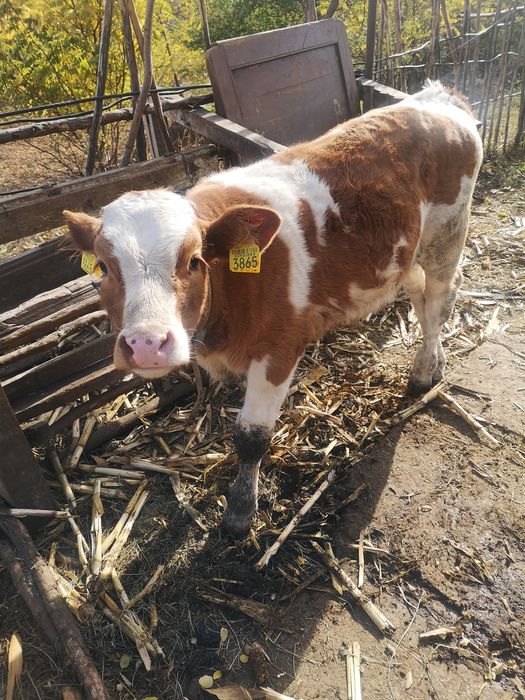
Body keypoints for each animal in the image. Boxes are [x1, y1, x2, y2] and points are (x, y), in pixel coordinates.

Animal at [65, 81, 483, 537]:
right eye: (104, 267)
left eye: (194, 260)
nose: (146, 344)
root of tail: (436, 97)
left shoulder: (280, 347)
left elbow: (251, 436)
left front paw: (239, 512)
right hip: (405, 253)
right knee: (423, 300)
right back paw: (433, 364)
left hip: (448, 235)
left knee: (439, 303)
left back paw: (424, 372)